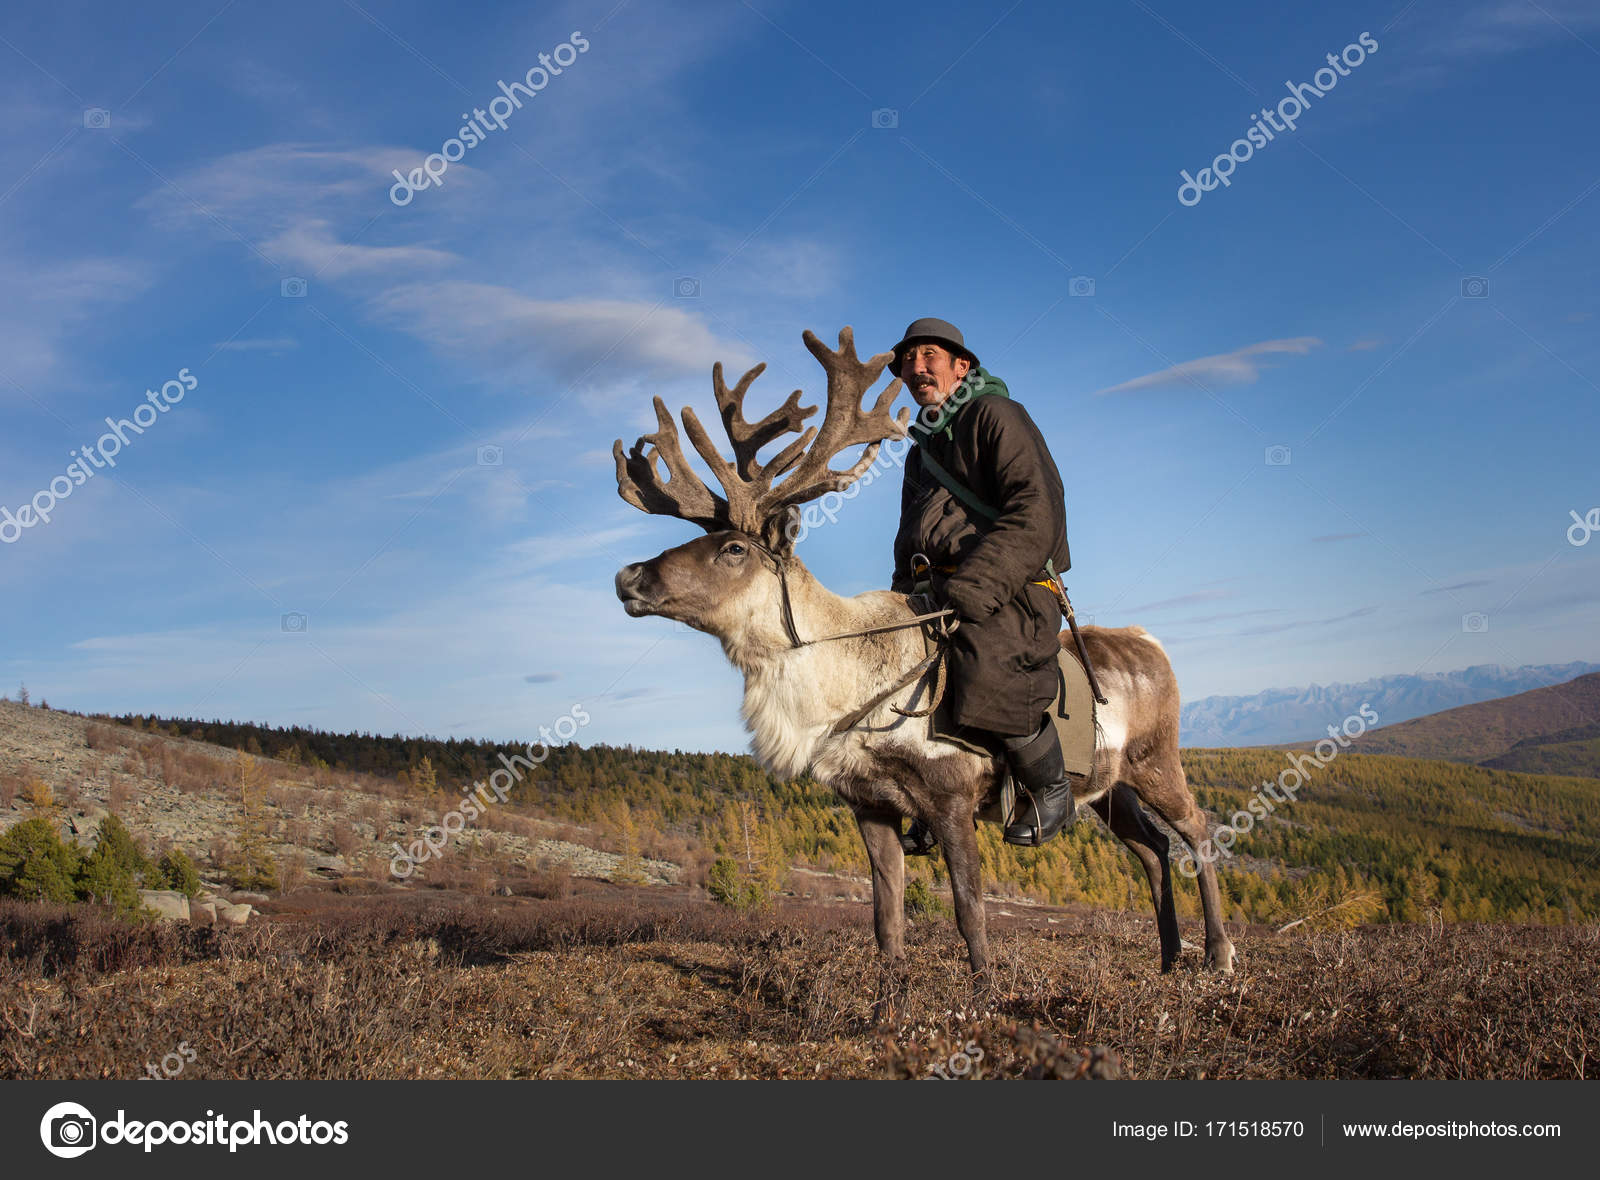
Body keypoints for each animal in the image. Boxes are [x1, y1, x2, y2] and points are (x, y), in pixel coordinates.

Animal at [612, 327, 1236, 984]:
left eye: (733, 548)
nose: (629, 576)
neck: (847, 688)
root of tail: (1152, 643)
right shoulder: (871, 806)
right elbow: (886, 913)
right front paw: (891, 985)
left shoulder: (952, 799)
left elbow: (969, 909)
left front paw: (984, 986)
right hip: (1110, 786)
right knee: (1152, 849)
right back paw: (1168, 959)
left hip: (1157, 762)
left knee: (1197, 831)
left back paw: (1218, 953)